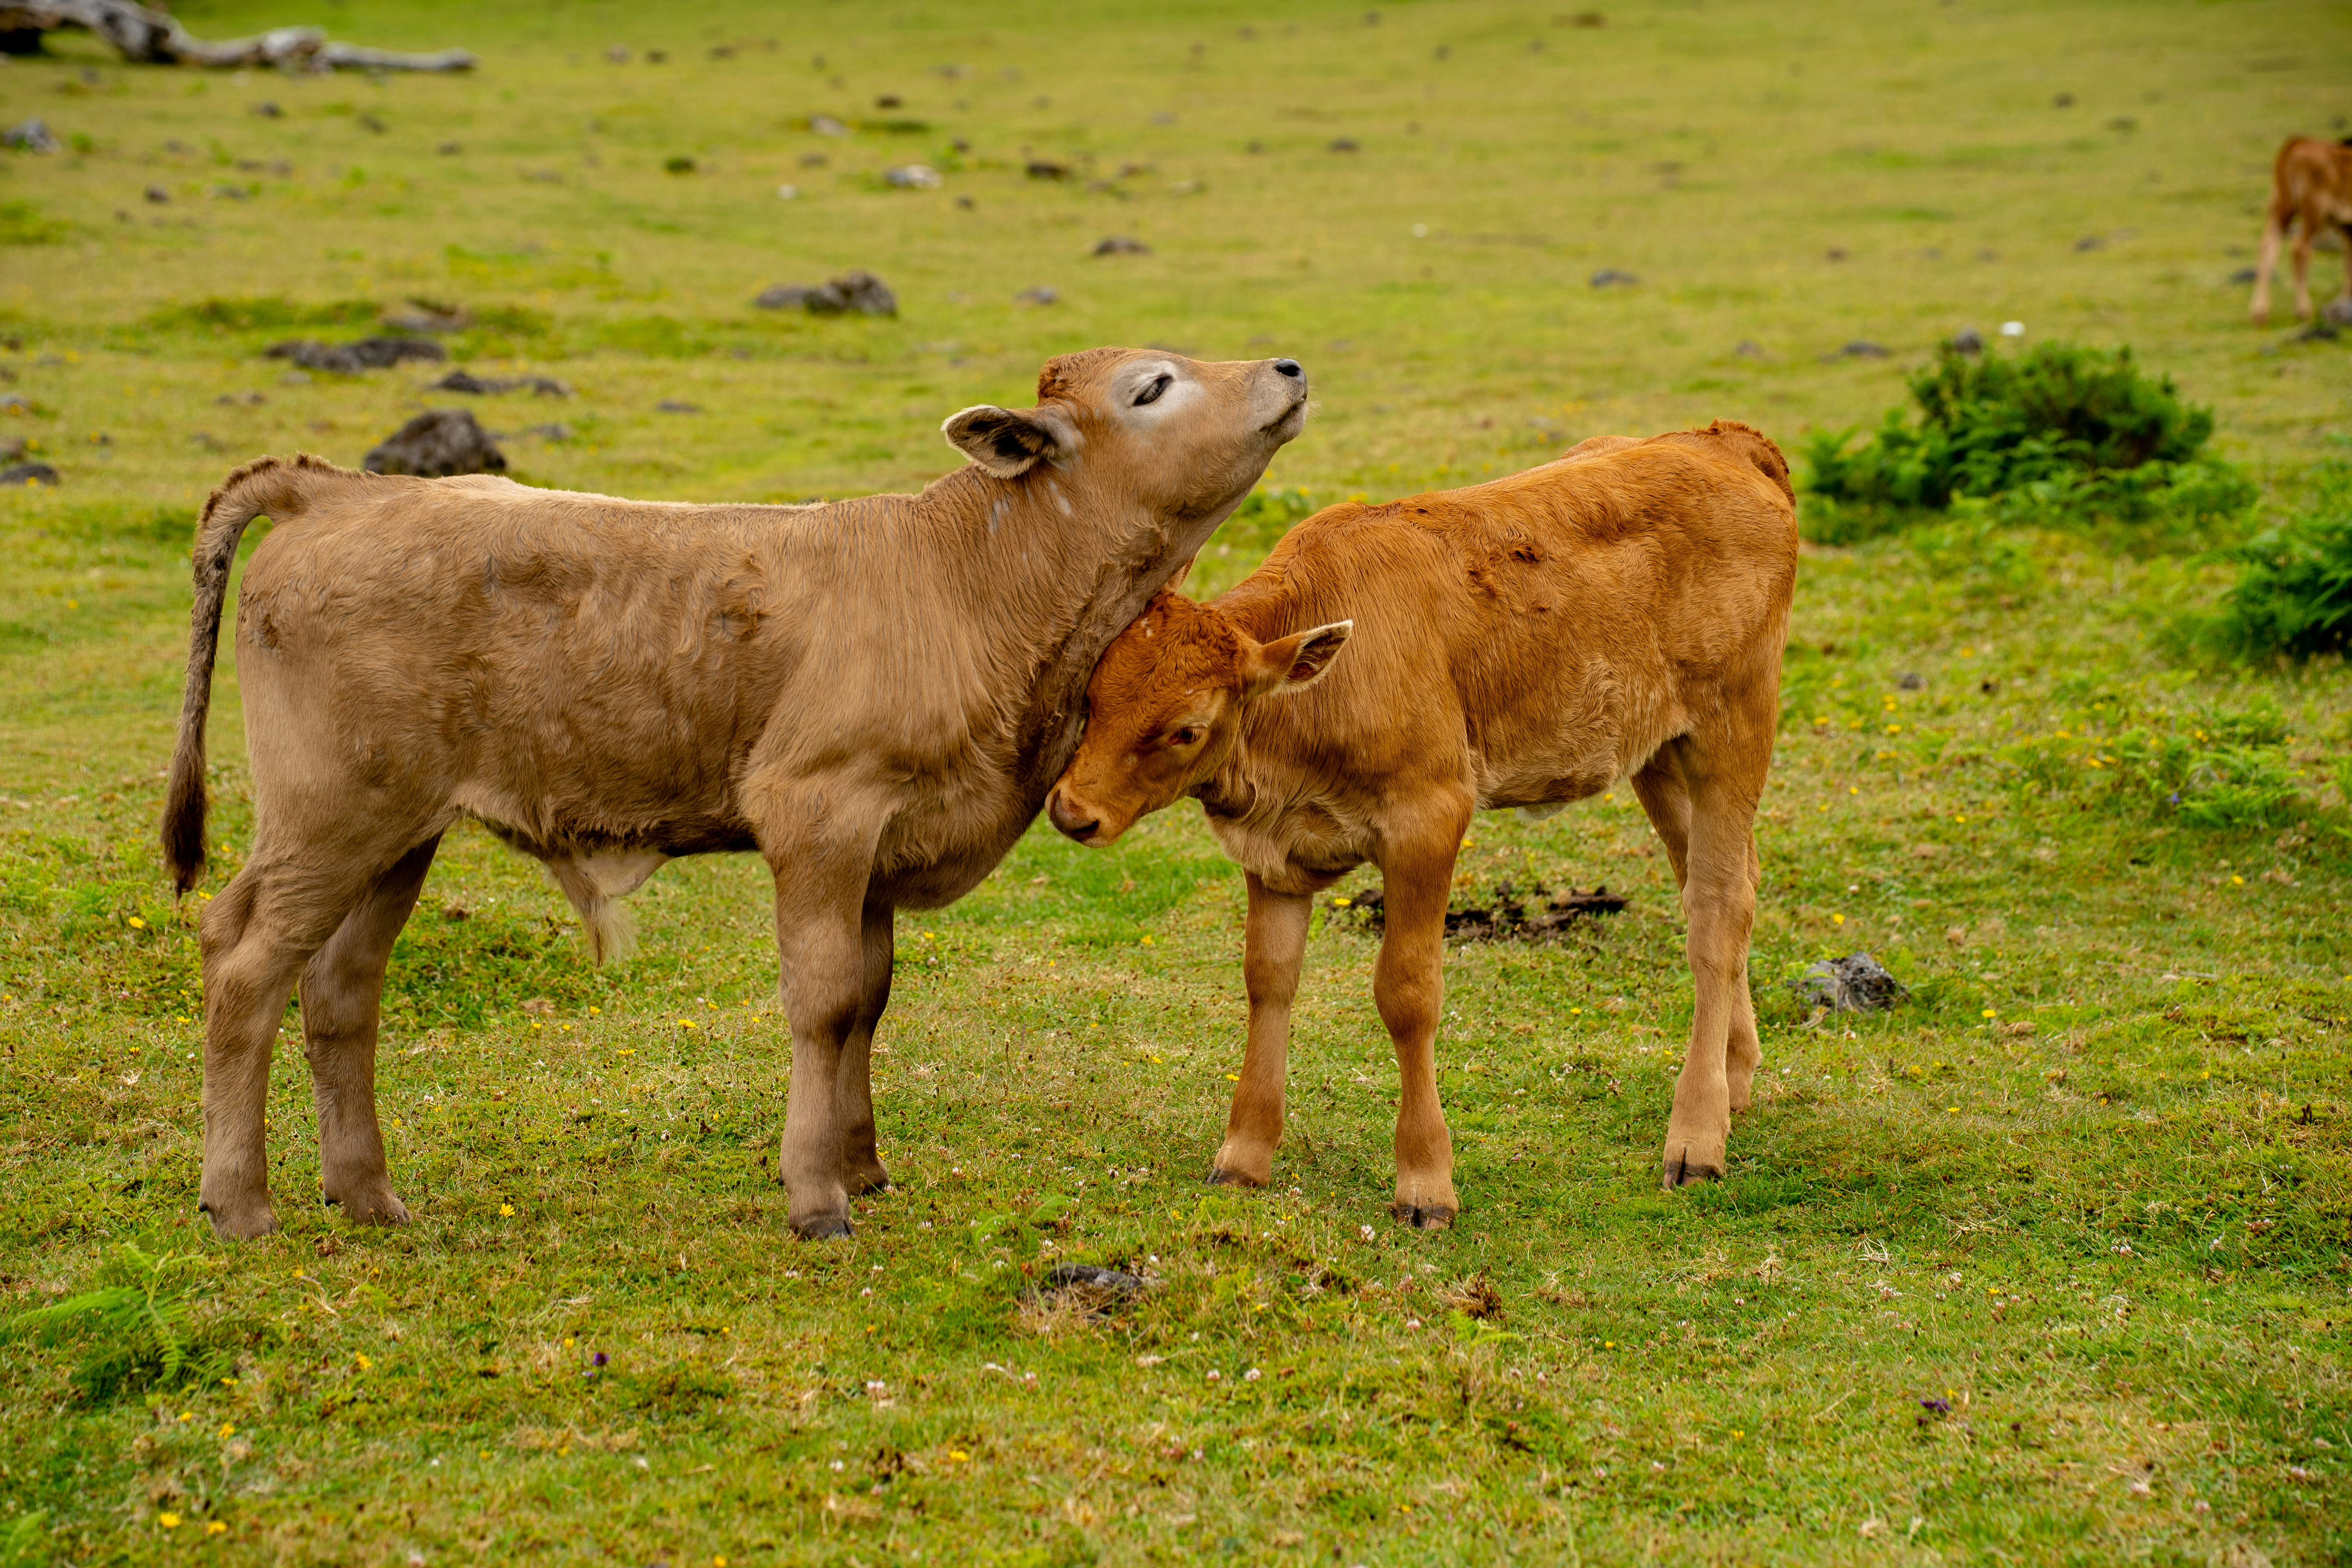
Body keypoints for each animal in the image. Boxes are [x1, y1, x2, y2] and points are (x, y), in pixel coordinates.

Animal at [161, 347, 1310, 1242]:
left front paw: (861, 1162)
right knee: (244, 961)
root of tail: (347, 488)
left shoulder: (879, 848)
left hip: (399, 830)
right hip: (327, 818)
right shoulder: (819, 809)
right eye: (1151, 386)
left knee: (340, 988)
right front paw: (816, 1195)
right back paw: (241, 1202)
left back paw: (366, 1193)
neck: (977, 584)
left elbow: (868, 999)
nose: (1289, 369)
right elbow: (823, 999)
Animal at [1044, 423, 1796, 1224]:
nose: (1071, 810)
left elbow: (1407, 995)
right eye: (1093, 694)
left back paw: (1696, 1137)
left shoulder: (1430, 817)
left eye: (1185, 729)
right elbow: (1267, 980)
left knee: (1719, 908)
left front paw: (1426, 1180)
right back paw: (1735, 1078)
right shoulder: (1273, 853)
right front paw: (1244, 1154)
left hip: (1735, 721)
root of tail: (1721, 441)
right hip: (1656, 749)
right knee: (1722, 880)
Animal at [2250, 135, 2352, 325]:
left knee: (2268, 245)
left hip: (2281, 204)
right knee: (2300, 249)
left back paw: (2260, 313)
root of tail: (2298, 142)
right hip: (2314, 208)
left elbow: (2348, 264)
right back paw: (2304, 311)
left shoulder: (2347, 228)